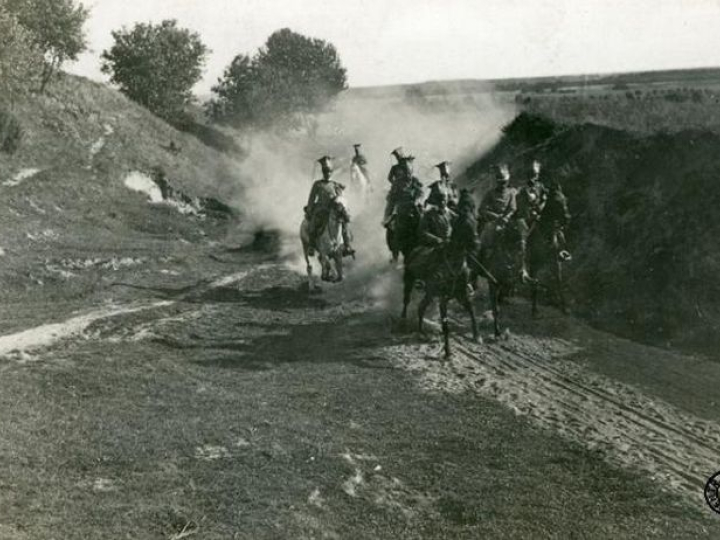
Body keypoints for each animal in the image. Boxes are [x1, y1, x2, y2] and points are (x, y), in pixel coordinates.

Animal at [402, 193, 480, 358]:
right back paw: (403, 320)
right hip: (409, 280)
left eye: (475, 223)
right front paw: (448, 351)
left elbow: (471, 310)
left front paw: (477, 335)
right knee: (406, 300)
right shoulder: (443, 299)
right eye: (465, 225)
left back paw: (421, 332)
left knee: (421, 307)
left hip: (430, 293)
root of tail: (414, 250)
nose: (477, 244)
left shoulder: (461, 294)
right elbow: (446, 325)